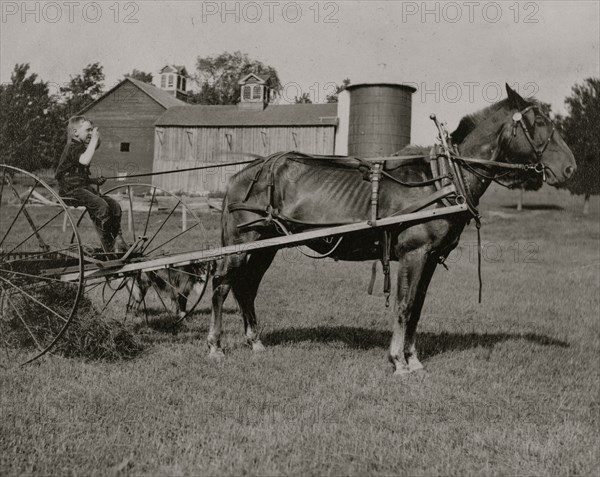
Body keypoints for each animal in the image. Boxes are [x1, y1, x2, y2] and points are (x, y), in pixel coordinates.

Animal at [207, 85, 576, 376]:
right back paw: (215, 346)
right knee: (222, 284)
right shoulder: (413, 253)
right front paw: (398, 360)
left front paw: (413, 359)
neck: (441, 179)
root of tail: (242, 174)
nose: (570, 167)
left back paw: (255, 342)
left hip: (265, 246)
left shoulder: (430, 257)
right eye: (539, 122)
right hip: (242, 241)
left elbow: (417, 308)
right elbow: (404, 305)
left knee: (246, 287)